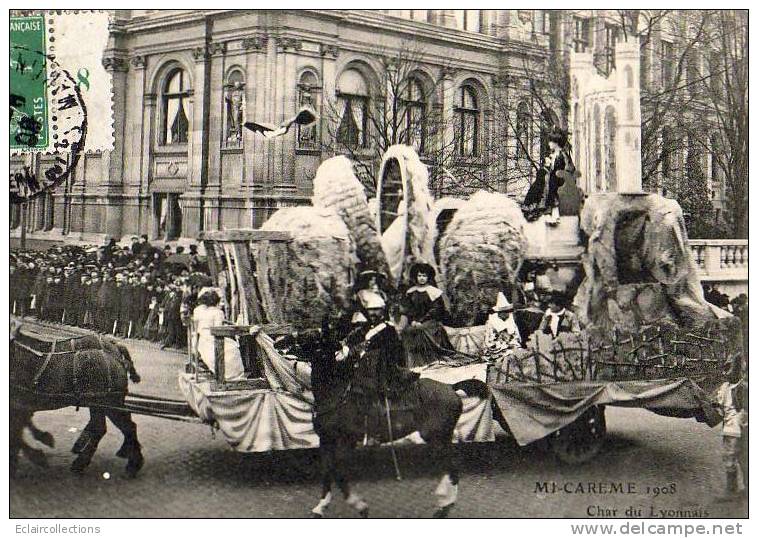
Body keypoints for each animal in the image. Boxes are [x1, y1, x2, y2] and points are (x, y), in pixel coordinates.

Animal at [9, 318, 144, 474]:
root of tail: (116, 352)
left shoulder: (19, 406)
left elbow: (17, 434)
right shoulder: (21, 407)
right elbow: (18, 432)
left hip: (108, 403)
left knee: (119, 427)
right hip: (104, 403)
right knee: (115, 426)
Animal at [282, 314, 478, 516]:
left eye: (312, 337)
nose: (281, 342)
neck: (336, 393)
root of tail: (451, 387)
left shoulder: (345, 442)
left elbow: (337, 472)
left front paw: (359, 505)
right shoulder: (326, 441)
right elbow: (328, 471)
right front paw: (321, 506)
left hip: (437, 438)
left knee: (452, 466)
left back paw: (444, 504)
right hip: (439, 439)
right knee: (448, 467)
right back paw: (443, 499)